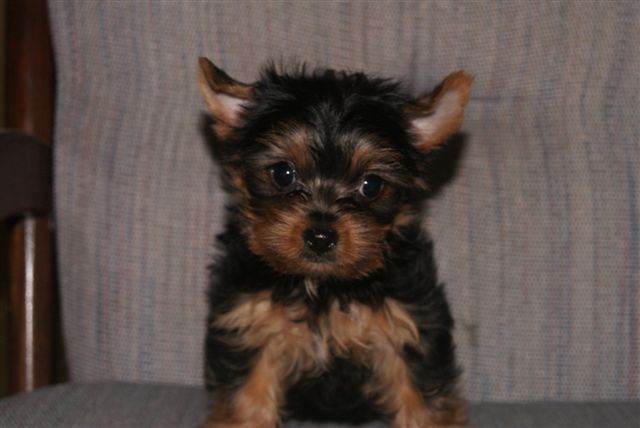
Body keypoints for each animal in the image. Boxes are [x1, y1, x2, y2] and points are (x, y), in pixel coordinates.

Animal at [198, 57, 472, 428]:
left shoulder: (407, 329)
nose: (320, 236)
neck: (323, 287)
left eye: (371, 185)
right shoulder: (252, 325)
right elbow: (247, 401)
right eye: (282, 173)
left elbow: (421, 402)